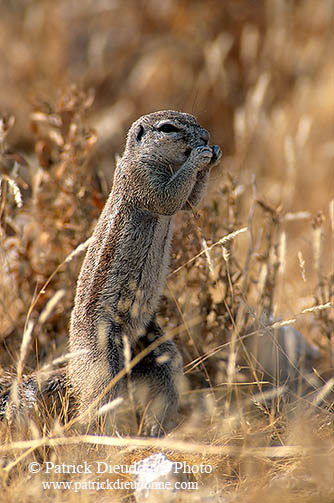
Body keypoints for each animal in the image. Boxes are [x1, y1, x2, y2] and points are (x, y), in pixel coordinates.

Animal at [69, 111, 222, 438]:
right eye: (168, 128)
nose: (205, 137)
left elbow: (189, 202)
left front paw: (214, 154)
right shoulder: (141, 179)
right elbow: (169, 198)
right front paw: (200, 157)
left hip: (155, 347)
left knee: (164, 377)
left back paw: (156, 427)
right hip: (102, 361)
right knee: (97, 400)